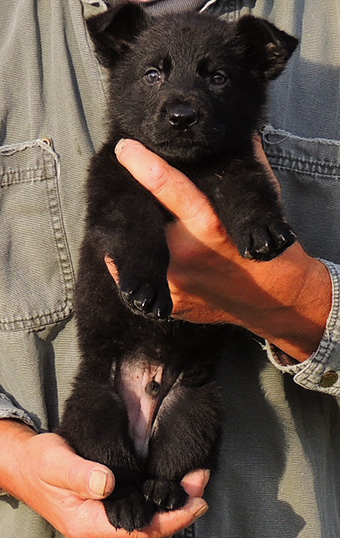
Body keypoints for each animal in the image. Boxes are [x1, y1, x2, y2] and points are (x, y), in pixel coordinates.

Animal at [59, 4, 298, 528]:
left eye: (218, 78)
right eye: (153, 75)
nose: (182, 117)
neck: (185, 167)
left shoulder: (234, 164)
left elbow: (249, 192)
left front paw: (264, 230)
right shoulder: (118, 188)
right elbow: (139, 230)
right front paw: (147, 288)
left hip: (196, 407)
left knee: (170, 460)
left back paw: (163, 492)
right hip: (94, 406)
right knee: (115, 468)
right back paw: (127, 503)